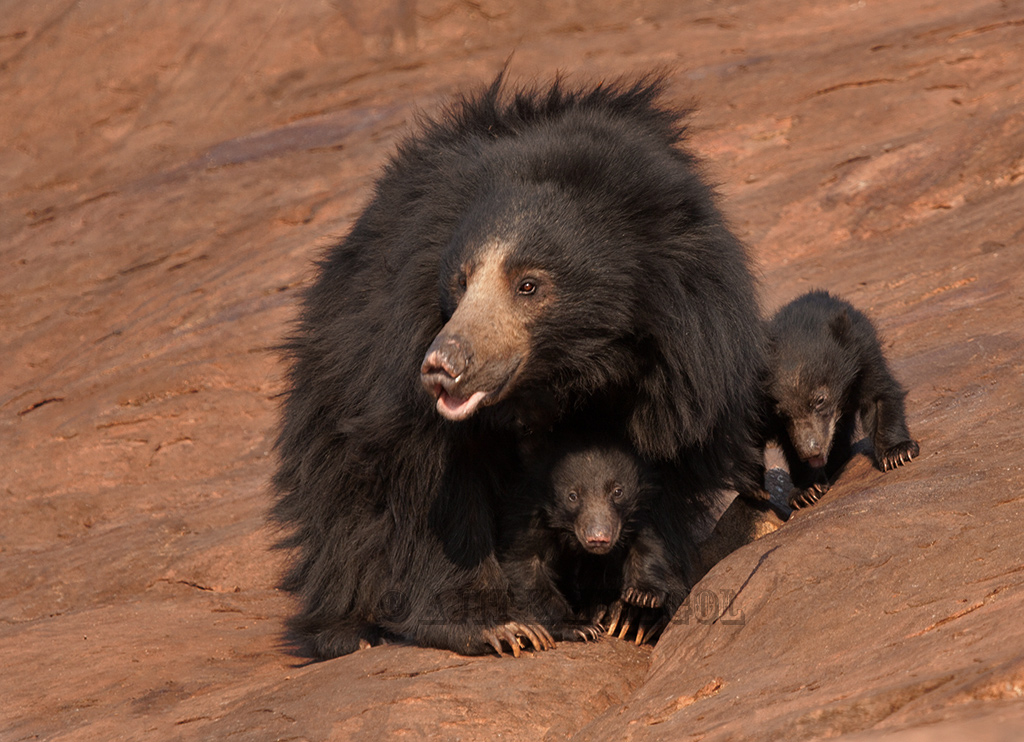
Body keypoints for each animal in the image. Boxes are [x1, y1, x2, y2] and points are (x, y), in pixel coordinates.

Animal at [499, 430, 688, 646]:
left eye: (618, 491)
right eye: (572, 496)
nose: (599, 538)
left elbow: (649, 540)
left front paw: (642, 596)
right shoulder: (528, 515)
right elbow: (525, 564)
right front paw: (579, 627)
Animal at [764, 289, 920, 509]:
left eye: (820, 400)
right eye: (782, 412)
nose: (811, 451)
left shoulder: (864, 355)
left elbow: (879, 396)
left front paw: (897, 453)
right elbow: (790, 445)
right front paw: (807, 491)